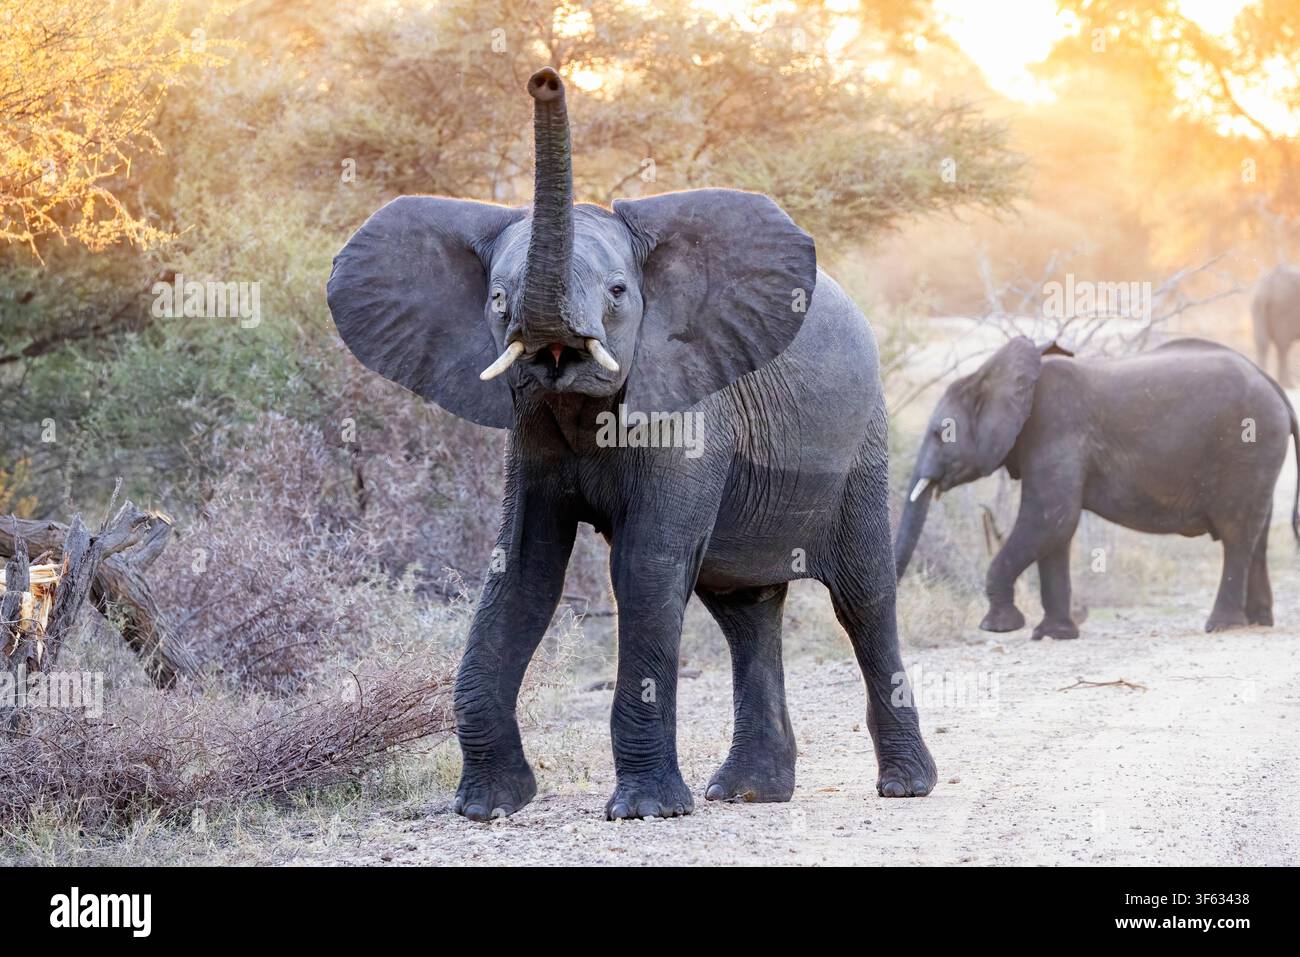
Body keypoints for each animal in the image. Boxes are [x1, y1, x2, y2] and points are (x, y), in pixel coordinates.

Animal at [326, 68, 936, 821]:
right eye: (497, 299)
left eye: (618, 291)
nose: (544, 78)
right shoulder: (532, 431)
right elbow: (522, 569)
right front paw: (487, 807)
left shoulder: (690, 403)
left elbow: (645, 567)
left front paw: (645, 809)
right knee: (744, 611)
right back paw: (749, 791)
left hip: (862, 444)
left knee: (864, 598)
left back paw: (905, 786)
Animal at [894, 336, 1300, 639]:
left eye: (939, 433)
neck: (987, 374)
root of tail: (1273, 385)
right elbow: (1056, 532)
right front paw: (1054, 635)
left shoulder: (1055, 427)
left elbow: (1050, 518)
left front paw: (999, 628)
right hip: (1258, 456)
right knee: (1257, 535)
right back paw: (1258, 622)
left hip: (1247, 445)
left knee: (1236, 534)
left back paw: (1222, 626)